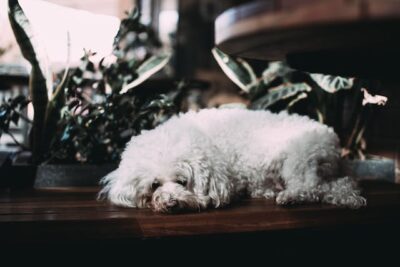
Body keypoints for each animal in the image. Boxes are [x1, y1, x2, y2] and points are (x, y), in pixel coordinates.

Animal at [99, 108, 366, 214]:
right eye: (155, 185)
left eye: (182, 181)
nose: (171, 203)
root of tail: (332, 140)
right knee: (338, 185)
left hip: (298, 160)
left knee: (314, 188)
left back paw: (289, 197)